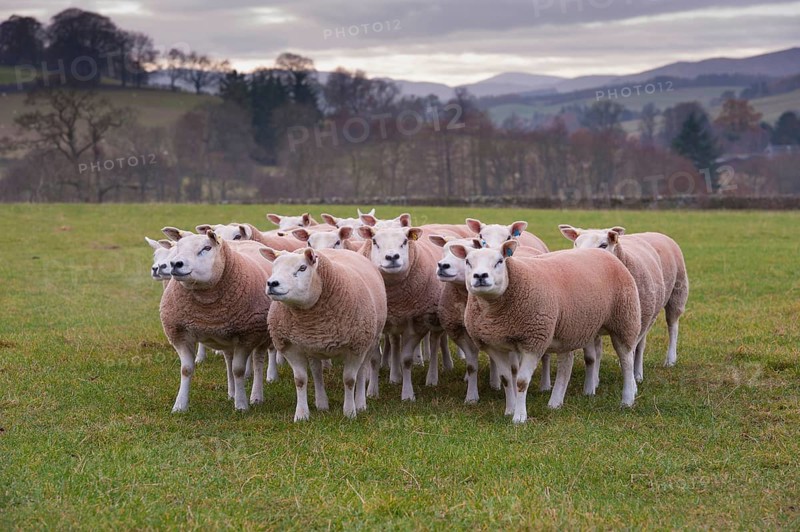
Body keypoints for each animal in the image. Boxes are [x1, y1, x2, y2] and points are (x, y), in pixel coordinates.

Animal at [159, 229, 273, 412]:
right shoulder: (179, 333)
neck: (207, 312)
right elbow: (186, 369)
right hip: (226, 337)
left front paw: (241, 405)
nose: (176, 264)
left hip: (261, 334)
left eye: (206, 248)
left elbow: (239, 370)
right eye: (179, 247)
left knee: (257, 361)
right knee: (228, 360)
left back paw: (256, 396)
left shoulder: (247, 335)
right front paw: (180, 405)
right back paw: (232, 392)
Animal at [260, 247, 387, 421]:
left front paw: (350, 412)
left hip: (369, 341)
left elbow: (349, 380)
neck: (309, 318)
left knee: (361, 372)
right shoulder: (290, 346)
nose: (272, 283)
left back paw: (361, 404)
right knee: (317, 372)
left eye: (302, 268)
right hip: (313, 346)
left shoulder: (355, 346)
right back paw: (322, 403)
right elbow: (300, 380)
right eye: (274, 267)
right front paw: (301, 415)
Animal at [358, 225, 444, 401]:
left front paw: (408, 394)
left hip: (434, 318)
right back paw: (395, 376)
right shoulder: (378, 325)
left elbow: (407, 359)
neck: (393, 300)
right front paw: (372, 392)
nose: (392, 257)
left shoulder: (417, 324)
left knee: (434, 344)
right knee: (395, 341)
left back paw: (432, 378)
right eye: (374, 241)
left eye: (405, 241)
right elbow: (375, 360)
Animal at [450, 240, 641, 423]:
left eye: (500, 261)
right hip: (570, 328)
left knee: (626, 361)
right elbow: (506, 379)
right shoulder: (494, 345)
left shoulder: (533, 340)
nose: (480, 276)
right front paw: (509, 410)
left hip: (625, 320)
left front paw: (519, 417)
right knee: (566, 364)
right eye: (467, 262)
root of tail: (603, 253)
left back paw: (627, 399)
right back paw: (555, 402)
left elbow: (521, 382)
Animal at [559, 224, 689, 374]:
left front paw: (634, 372)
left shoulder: (639, 319)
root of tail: (655, 233)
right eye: (576, 243)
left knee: (672, 326)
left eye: (604, 245)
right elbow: (596, 354)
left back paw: (669, 360)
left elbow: (632, 348)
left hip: (676, 293)